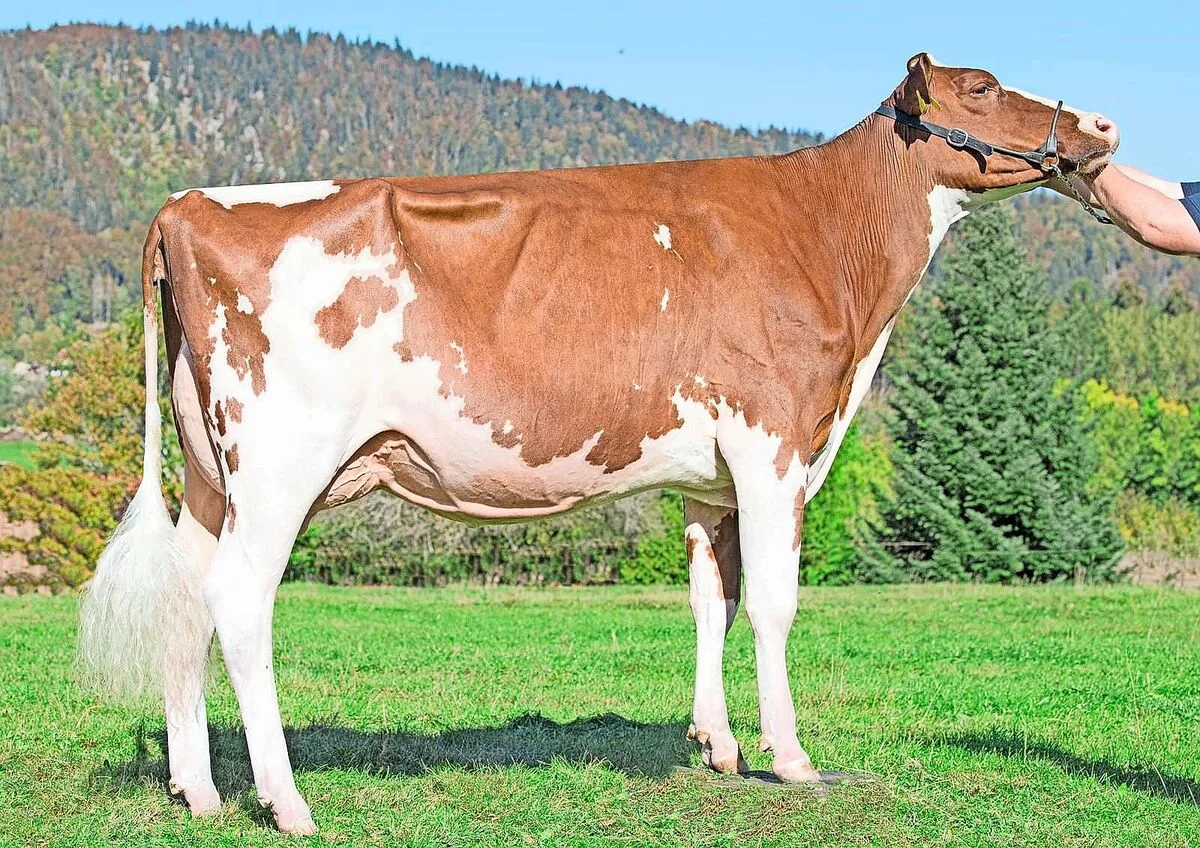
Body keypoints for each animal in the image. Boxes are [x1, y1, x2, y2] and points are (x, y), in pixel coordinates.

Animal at [78, 53, 1118, 834]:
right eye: (981, 86)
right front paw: (789, 758)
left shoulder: (711, 478)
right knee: (237, 601)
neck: (825, 239)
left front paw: (718, 746)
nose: (1101, 126)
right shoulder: (774, 442)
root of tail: (189, 203)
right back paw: (286, 801)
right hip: (280, 463)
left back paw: (199, 791)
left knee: (186, 599)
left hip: (212, 475)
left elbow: (712, 602)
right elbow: (773, 605)